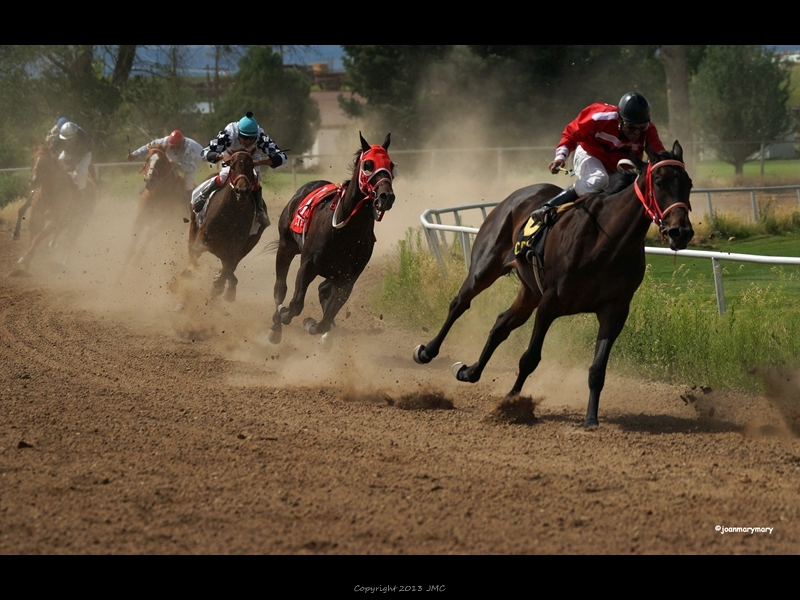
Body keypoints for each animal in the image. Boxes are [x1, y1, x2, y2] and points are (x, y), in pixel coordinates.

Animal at [186, 150, 264, 300]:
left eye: (251, 166)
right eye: (232, 166)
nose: (242, 191)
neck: (229, 216)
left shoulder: (236, 248)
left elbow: (228, 269)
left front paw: (221, 288)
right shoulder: (202, 239)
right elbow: (195, 255)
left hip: (249, 244)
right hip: (193, 223)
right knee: (191, 249)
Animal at [268, 133, 396, 344]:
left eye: (391, 165)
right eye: (368, 164)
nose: (386, 196)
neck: (345, 232)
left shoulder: (347, 278)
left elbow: (326, 320)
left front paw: (314, 325)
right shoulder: (308, 265)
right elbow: (296, 304)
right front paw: (285, 314)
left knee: (322, 289)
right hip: (286, 245)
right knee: (280, 287)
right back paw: (275, 328)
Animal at [412, 142, 692, 428]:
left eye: (689, 184)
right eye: (659, 182)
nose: (681, 232)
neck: (606, 242)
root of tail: (519, 194)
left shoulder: (615, 310)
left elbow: (597, 368)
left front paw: (591, 419)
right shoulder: (550, 303)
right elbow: (530, 358)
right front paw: (511, 403)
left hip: (529, 292)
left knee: (501, 325)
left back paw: (469, 372)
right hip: (486, 267)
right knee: (460, 303)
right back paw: (427, 351)